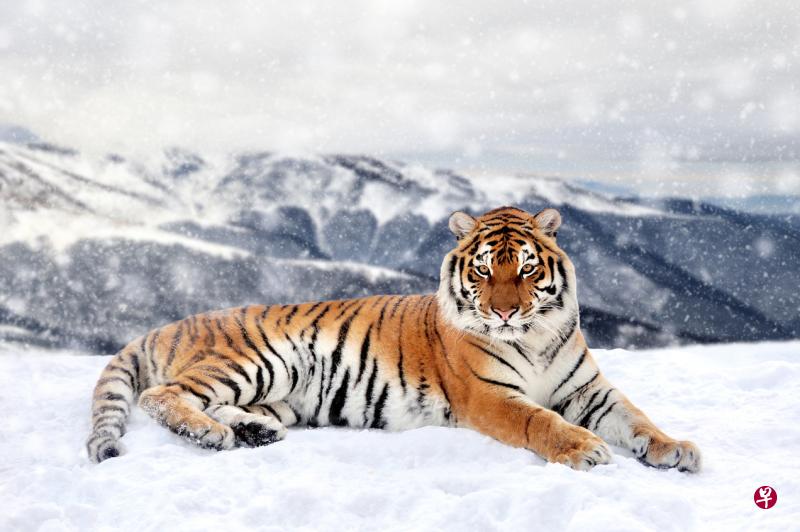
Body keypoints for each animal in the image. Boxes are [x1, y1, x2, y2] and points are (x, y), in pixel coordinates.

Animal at [87, 206, 701, 472]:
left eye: (526, 269)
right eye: (484, 270)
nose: (503, 312)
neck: (536, 336)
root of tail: (172, 322)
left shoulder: (588, 389)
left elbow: (636, 417)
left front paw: (674, 448)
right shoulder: (489, 395)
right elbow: (541, 421)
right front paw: (585, 450)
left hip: (276, 393)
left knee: (219, 406)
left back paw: (252, 434)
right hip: (258, 359)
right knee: (161, 396)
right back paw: (211, 435)